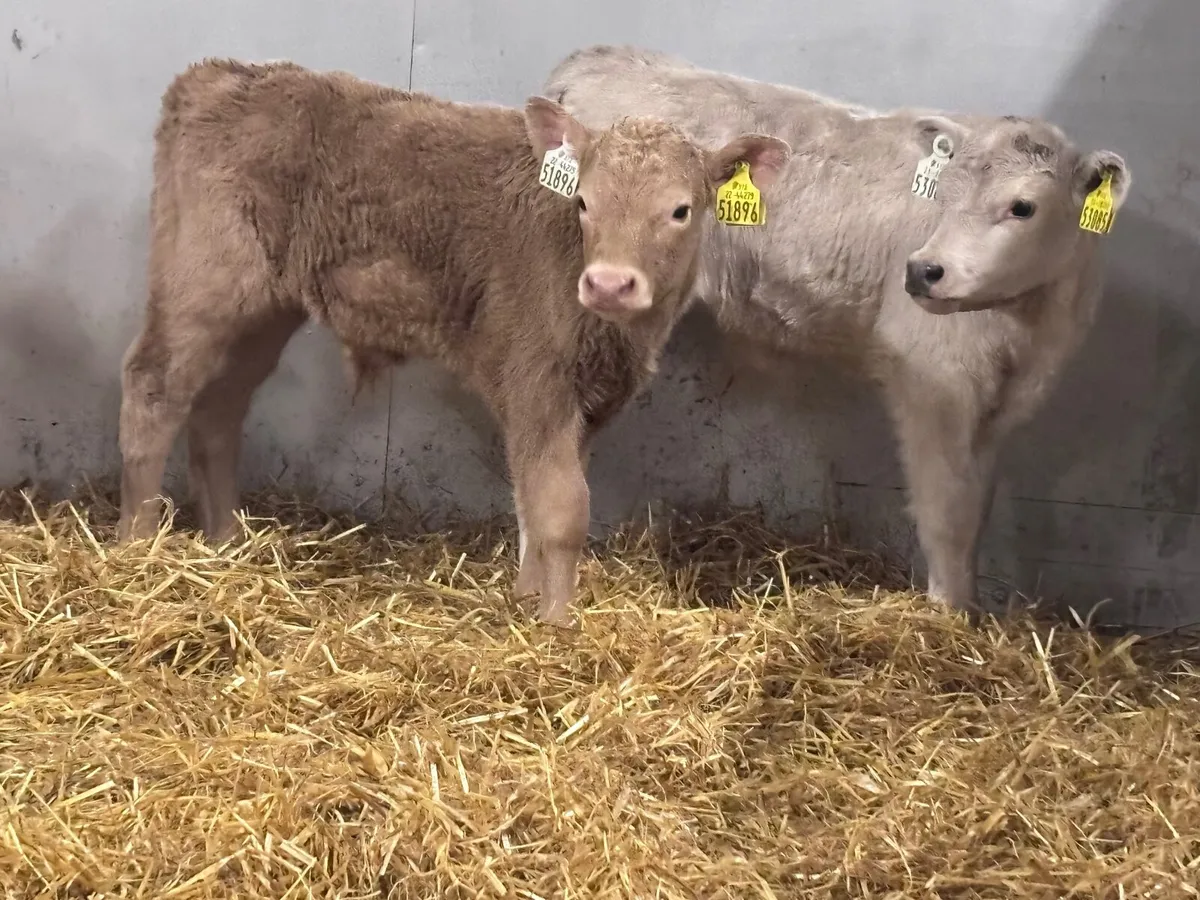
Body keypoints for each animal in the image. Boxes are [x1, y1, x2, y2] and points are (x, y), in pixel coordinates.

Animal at [115, 58, 790, 626]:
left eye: (680, 210)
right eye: (583, 202)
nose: (608, 283)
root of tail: (217, 75)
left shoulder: (586, 398)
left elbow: (532, 496)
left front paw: (527, 597)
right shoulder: (536, 377)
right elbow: (562, 508)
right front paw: (557, 625)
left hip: (264, 311)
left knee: (217, 408)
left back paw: (225, 540)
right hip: (203, 280)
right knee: (154, 387)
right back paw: (137, 545)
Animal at [545, 45, 1131, 614]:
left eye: (1023, 207)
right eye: (944, 196)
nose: (924, 270)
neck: (1027, 326)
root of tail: (592, 61)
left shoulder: (1004, 402)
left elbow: (976, 504)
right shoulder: (933, 380)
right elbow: (948, 511)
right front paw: (948, 614)